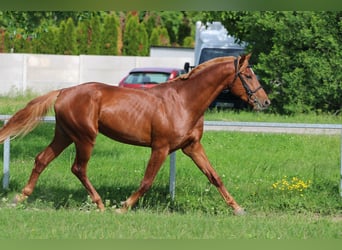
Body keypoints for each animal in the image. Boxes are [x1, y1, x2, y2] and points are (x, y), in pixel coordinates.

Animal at [0, 54, 270, 215]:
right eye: (248, 75)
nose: (265, 102)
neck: (183, 101)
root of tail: (63, 91)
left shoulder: (192, 147)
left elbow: (215, 177)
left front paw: (238, 209)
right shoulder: (160, 148)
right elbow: (147, 181)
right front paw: (124, 207)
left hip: (65, 135)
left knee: (42, 159)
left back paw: (19, 198)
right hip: (85, 138)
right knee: (78, 168)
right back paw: (100, 204)